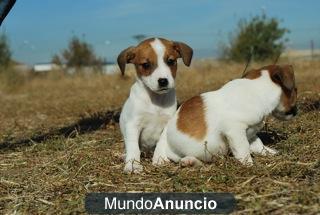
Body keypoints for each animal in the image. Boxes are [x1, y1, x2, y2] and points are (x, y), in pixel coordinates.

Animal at [117, 37, 192, 173]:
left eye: (170, 61)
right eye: (146, 65)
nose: (163, 81)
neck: (156, 100)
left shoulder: (167, 123)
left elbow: (162, 141)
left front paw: (160, 157)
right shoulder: (133, 124)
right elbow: (133, 147)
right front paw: (133, 164)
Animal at [152, 63, 298, 166]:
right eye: (295, 90)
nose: (296, 112)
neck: (257, 91)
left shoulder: (250, 134)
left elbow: (259, 145)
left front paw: (270, 152)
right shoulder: (235, 131)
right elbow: (243, 150)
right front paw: (249, 165)